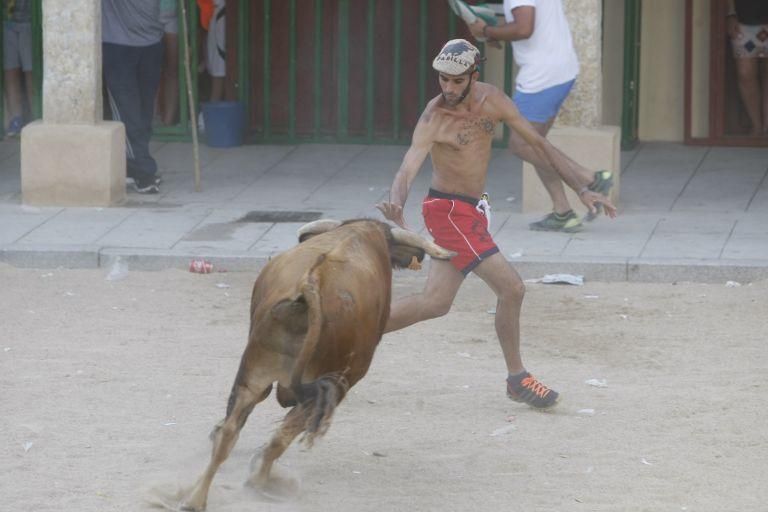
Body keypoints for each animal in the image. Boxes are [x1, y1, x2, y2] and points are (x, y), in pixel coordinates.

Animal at [178, 218, 456, 510]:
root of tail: (310, 285)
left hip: (254, 373)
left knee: (230, 433)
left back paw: (195, 498)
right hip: (330, 384)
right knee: (280, 437)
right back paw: (260, 481)